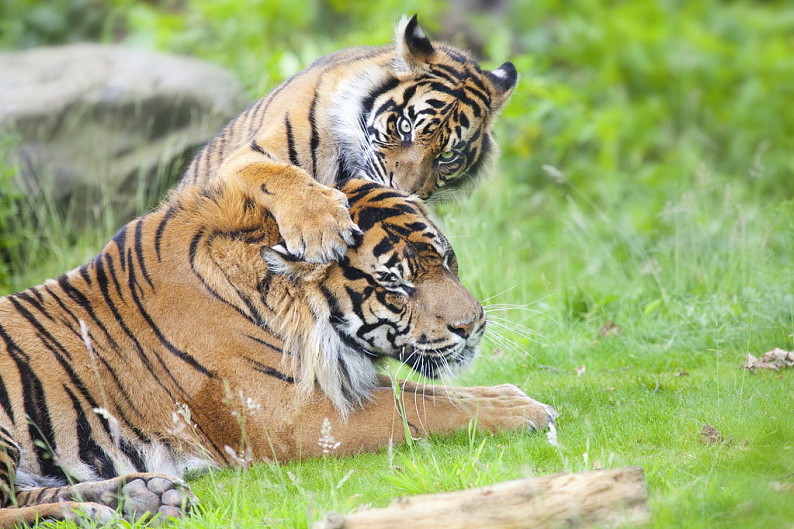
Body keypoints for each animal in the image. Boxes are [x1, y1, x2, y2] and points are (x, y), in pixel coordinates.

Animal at [0, 176, 556, 524]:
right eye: (394, 285)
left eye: (447, 259)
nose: (472, 326)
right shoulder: (297, 417)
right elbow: (420, 411)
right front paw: (523, 411)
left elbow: (422, 392)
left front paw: (511, 395)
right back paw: (92, 511)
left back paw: (144, 496)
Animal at [176, 14, 516, 264]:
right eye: (405, 127)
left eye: (447, 156)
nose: (404, 192)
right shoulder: (244, 156)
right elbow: (279, 176)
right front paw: (321, 230)